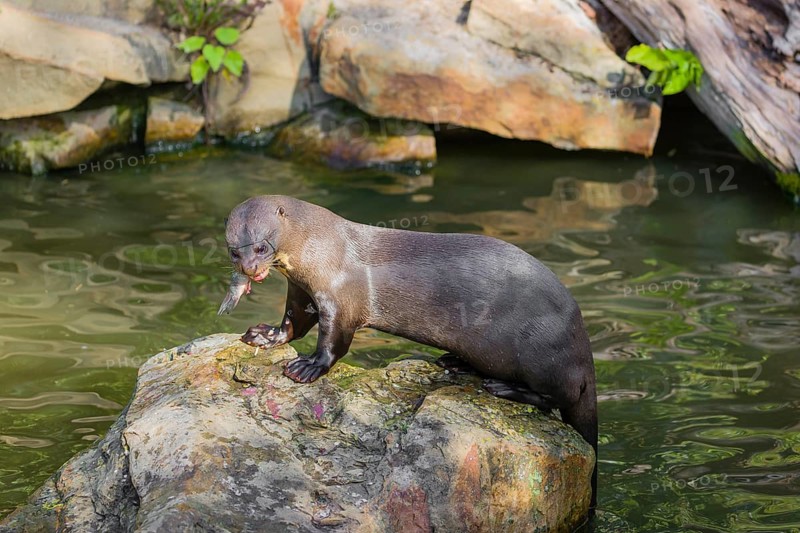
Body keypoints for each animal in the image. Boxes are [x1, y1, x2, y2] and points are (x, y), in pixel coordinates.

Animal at [222, 195, 598, 508]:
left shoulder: (339, 298)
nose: (249, 270)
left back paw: (504, 388)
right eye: (234, 251)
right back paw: (455, 363)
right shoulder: (301, 289)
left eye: (261, 246)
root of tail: (582, 346)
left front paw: (309, 367)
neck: (320, 247)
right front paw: (264, 335)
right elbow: (292, 324)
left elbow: (334, 340)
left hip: (543, 351)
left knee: (559, 396)